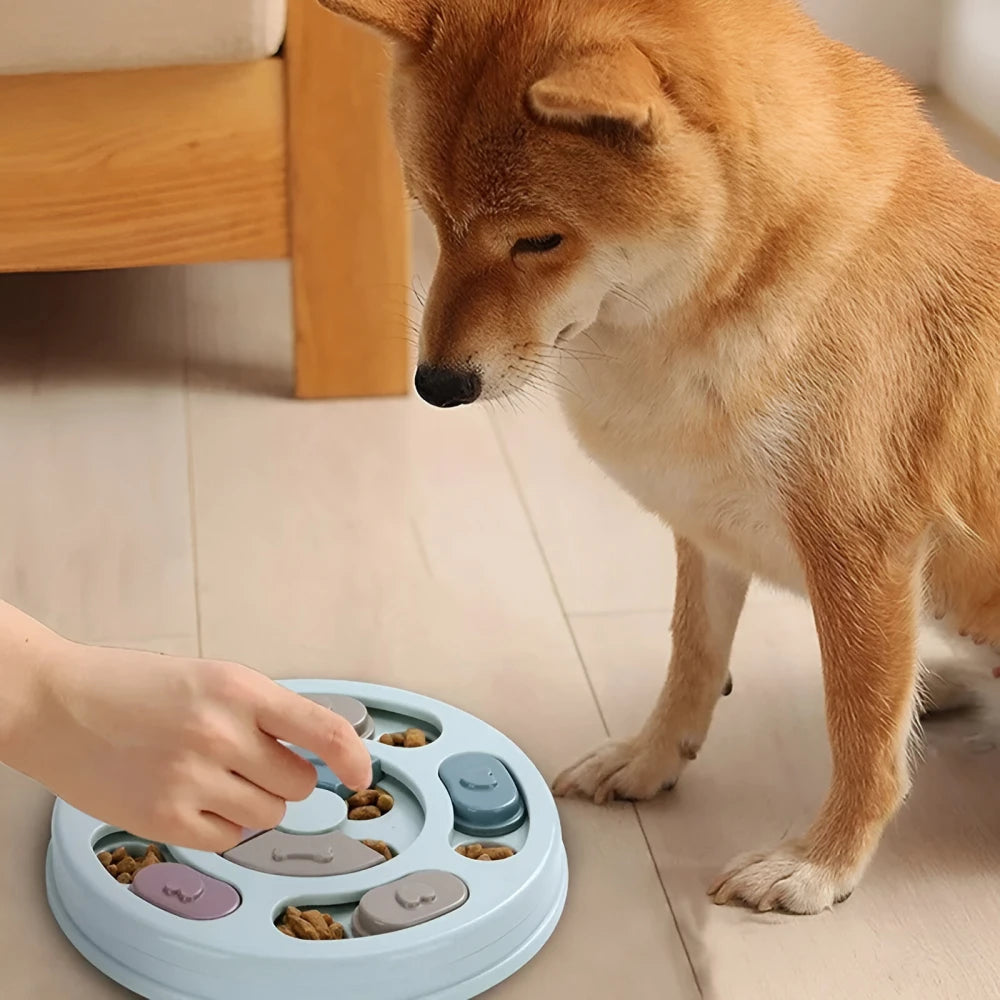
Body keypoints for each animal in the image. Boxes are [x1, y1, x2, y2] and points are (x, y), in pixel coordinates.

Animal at [320, 0, 1000, 912]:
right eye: (428, 214)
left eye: (539, 240)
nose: (435, 385)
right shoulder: (707, 526)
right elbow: (692, 658)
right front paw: (647, 760)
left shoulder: (861, 550)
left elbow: (860, 730)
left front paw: (821, 863)